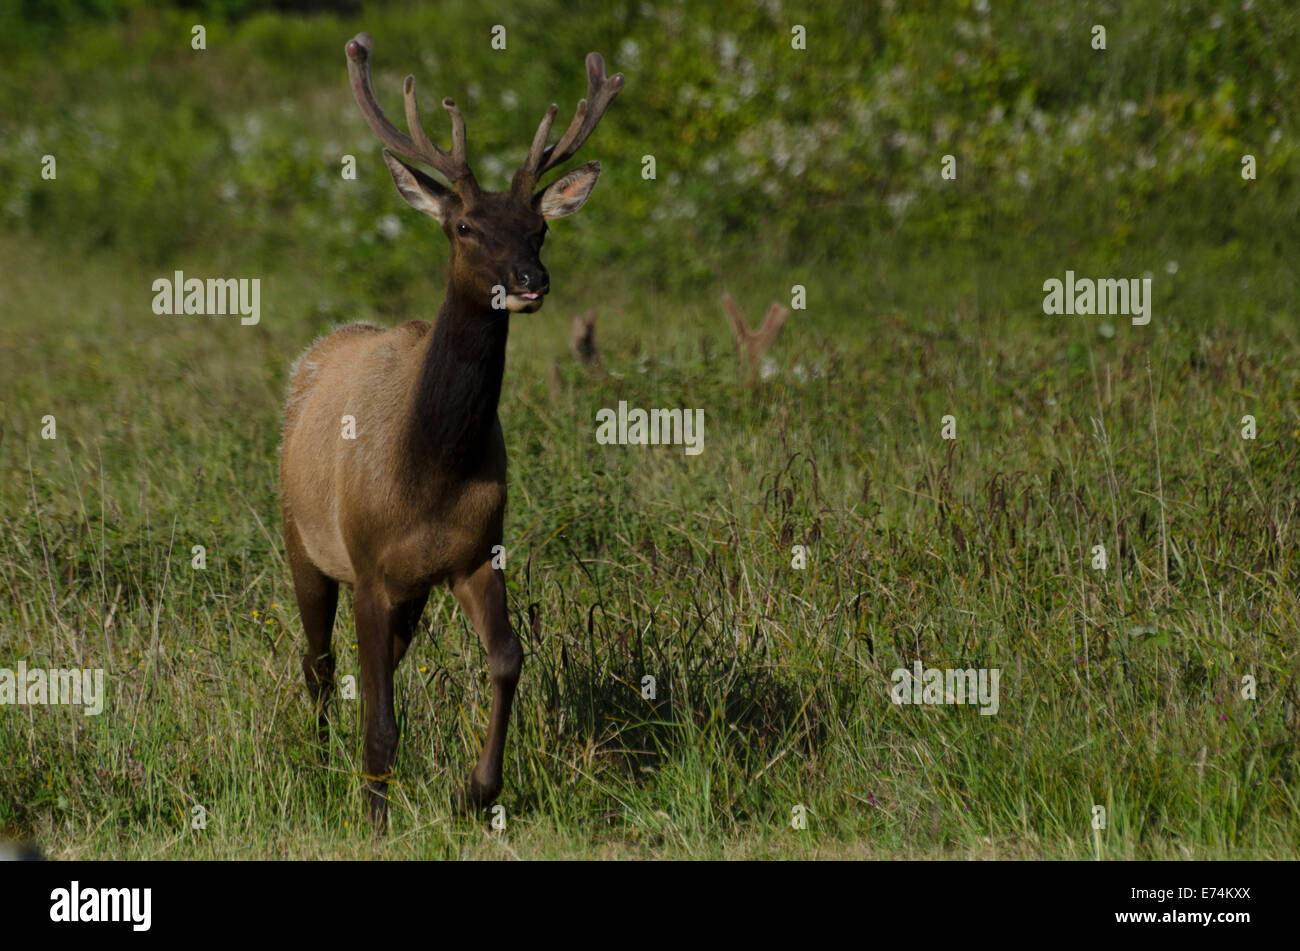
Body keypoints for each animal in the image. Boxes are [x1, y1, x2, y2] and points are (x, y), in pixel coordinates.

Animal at [280, 33, 624, 826]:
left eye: (540, 228)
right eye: (465, 227)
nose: (530, 280)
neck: (429, 473)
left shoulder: (473, 553)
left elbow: (508, 657)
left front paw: (475, 789)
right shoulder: (370, 565)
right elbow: (380, 716)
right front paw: (373, 817)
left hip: (407, 589)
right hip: (301, 538)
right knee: (320, 661)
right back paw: (318, 761)